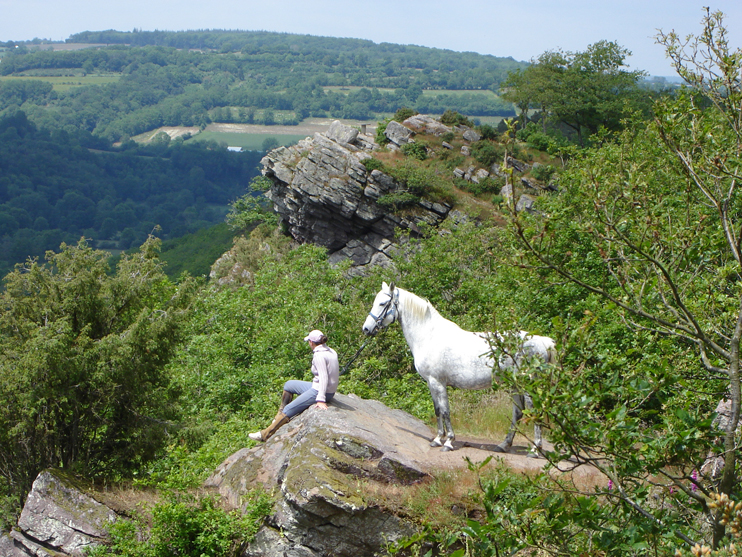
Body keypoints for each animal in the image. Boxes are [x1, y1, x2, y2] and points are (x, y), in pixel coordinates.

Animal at [364, 282, 556, 452]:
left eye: (383, 303)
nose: (366, 329)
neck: (429, 336)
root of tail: (542, 341)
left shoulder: (438, 383)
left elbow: (446, 411)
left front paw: (448, 442)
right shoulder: (431, 383)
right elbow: (437, 411)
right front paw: (437, 440)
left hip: (527, 384)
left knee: (534, 410)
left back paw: (535, 449)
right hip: (515, 385)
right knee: (518, 413)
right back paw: (504, 445)